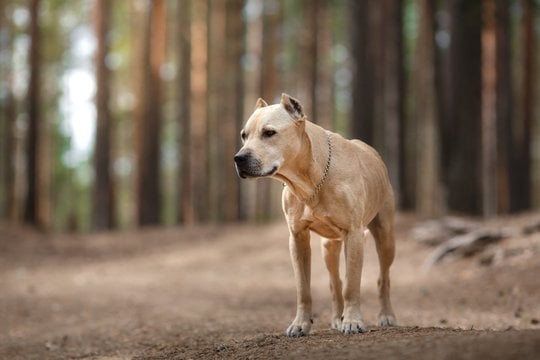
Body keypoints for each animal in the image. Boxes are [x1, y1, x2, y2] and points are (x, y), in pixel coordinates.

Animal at [233, 94, 396, 336]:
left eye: (269, 133)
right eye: (244, 135)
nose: (239, 158)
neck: (310, 181)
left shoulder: (355, 234)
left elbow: (352, 284)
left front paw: (353, 321)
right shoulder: (297, 238)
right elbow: (303, 288)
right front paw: (300, 323)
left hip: (385, 238)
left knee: (382, 278)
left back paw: (386, 315)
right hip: (329, 246)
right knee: (334, 282)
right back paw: (337, 318)